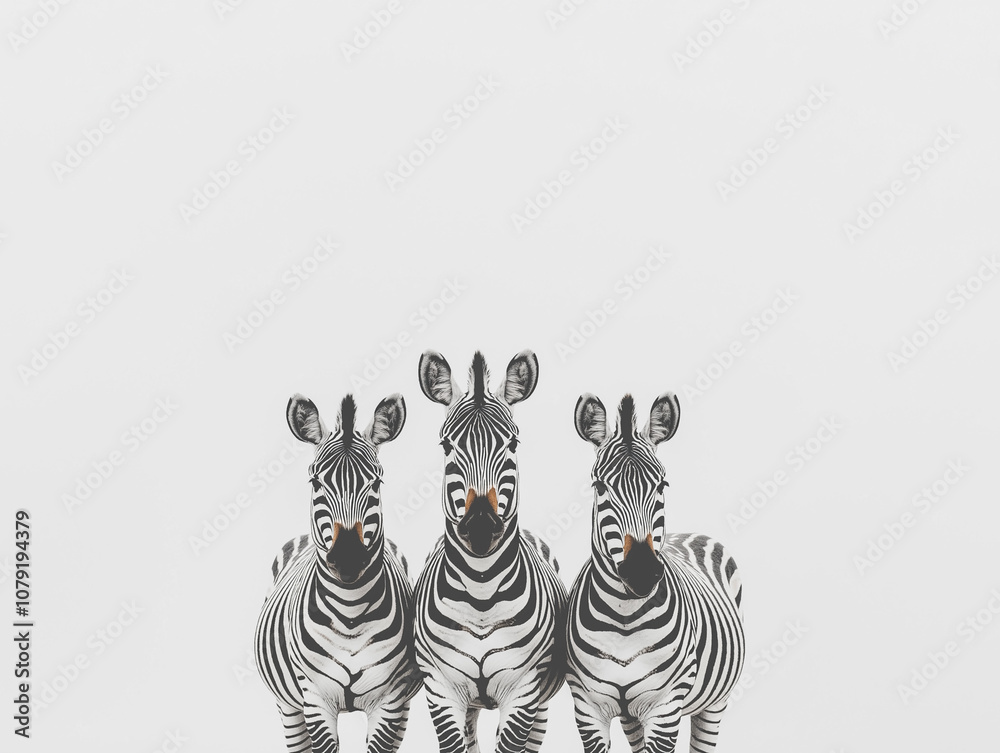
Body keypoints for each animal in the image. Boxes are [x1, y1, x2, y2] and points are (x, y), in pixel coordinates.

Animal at [254, 392, 422, 753]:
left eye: (376, 482)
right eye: (315, 481)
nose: (348, 559)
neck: (350, 613)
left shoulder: (391, 701)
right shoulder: (315, 699)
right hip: (288, 706)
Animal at [413, 350, 568, 753]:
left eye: (512, 445)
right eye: (446, 446)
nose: (481, 526)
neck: (480, 590)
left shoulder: (524, 690)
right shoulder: (441, 688)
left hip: (541, 704)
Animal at [566, 392, 745, 753]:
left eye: (662, 484)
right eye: (600, 487)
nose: (642, 571)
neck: (623, 618)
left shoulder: (664, 706)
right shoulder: (588, 707)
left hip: (715, 703)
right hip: (631, 716)